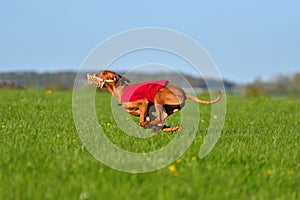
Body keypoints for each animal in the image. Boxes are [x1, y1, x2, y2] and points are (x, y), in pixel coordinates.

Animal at [86, 69, 220, 132]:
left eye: (101, 73)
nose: (91, 75)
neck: (121, 90)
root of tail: (184, 92)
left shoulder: (144, 102)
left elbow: (142, 122)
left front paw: (146, 126)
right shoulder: (146, 111)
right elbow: (151, 120)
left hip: (158, 96)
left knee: (160, 119)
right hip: (169, 107)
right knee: (162, 119)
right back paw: (172, 128)